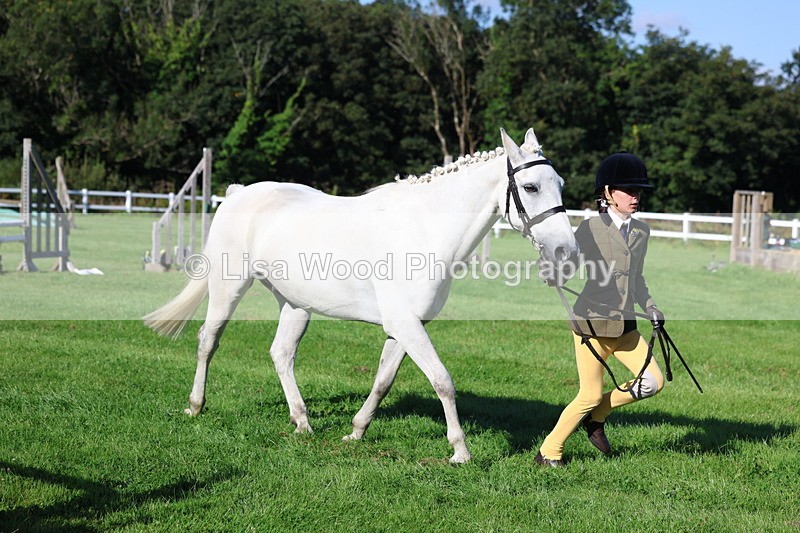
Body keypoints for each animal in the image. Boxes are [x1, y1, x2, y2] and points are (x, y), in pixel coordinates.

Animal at [144, 128, 579, 463]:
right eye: (530, 186)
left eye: (560, 185)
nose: (566, 253)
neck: (423, 230)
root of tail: (237, 193)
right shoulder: (406, 325)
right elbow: (442, 380)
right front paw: (460, 451)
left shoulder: (405, 327)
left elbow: (383, 381)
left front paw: (355, 431)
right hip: (228, 286)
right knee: (208, 340)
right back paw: (196, 406)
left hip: (296, 304)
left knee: (281, 354)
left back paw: (302, 422)